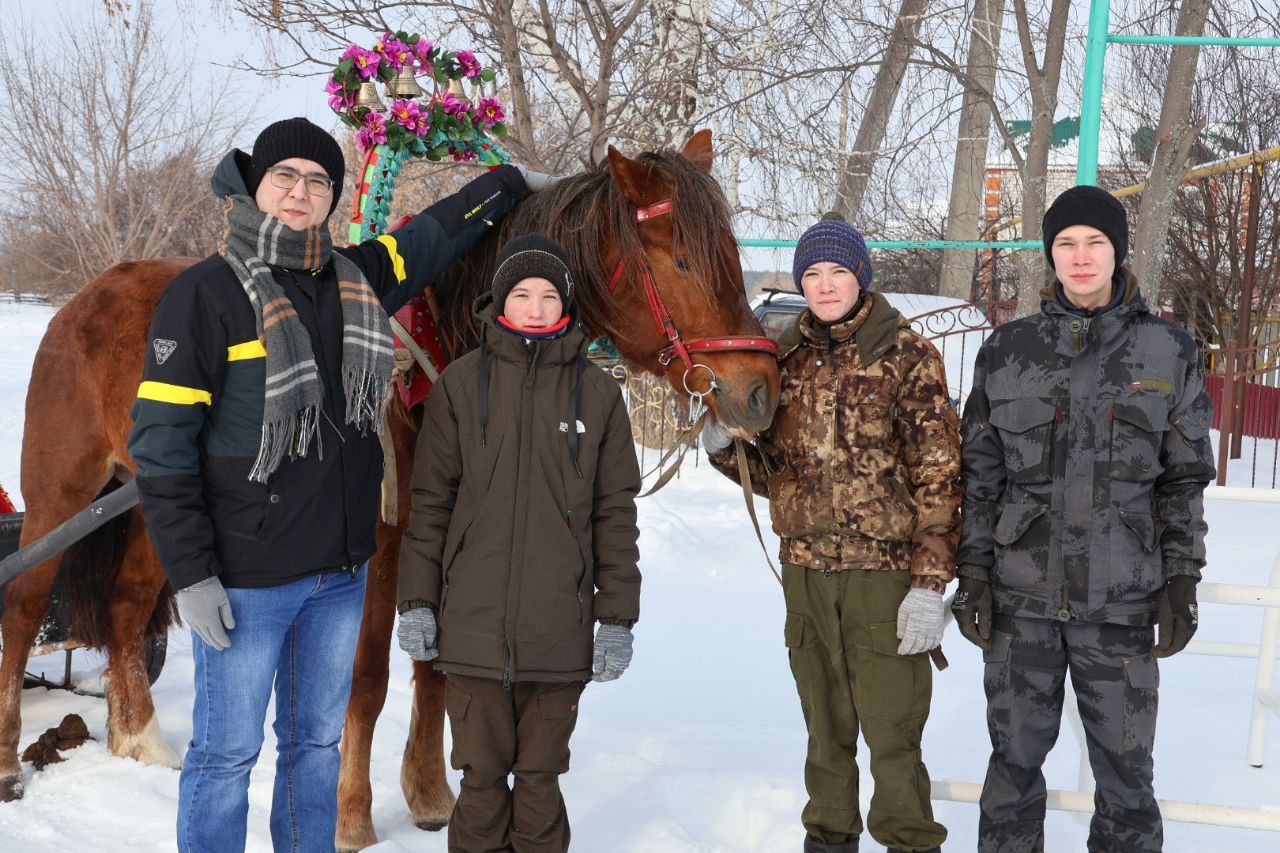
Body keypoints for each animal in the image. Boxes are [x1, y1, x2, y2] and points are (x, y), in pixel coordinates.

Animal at [0, 126, 778, 845]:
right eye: (681, 260)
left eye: (731, 258)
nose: (762, 391)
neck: (437, 357)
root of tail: (89, 294)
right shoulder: (374, 550)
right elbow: (369, 679)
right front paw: (352, 815)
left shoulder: (443, 535)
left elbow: (434, 669)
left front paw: (430, 793)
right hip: (62, 493)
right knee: (26, 603)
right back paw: (11, 760)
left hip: (158, 510)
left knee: (128, 606)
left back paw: (140, 742)